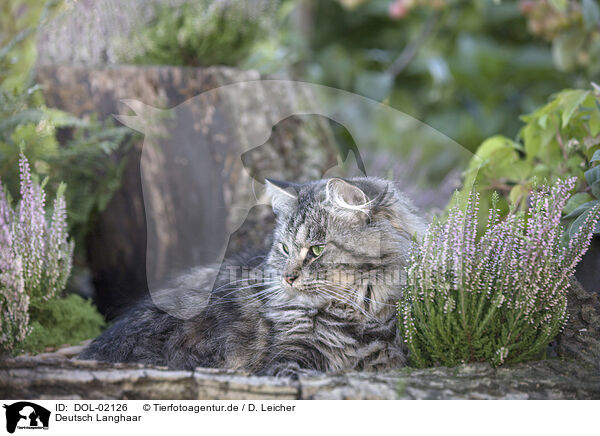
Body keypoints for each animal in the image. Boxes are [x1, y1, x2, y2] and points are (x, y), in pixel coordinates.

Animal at [79, 179, 426, 376]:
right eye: (285, 248)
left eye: (316, 250)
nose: (287, 278)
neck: (355, 314)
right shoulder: (292, 348)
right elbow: (288, 367)